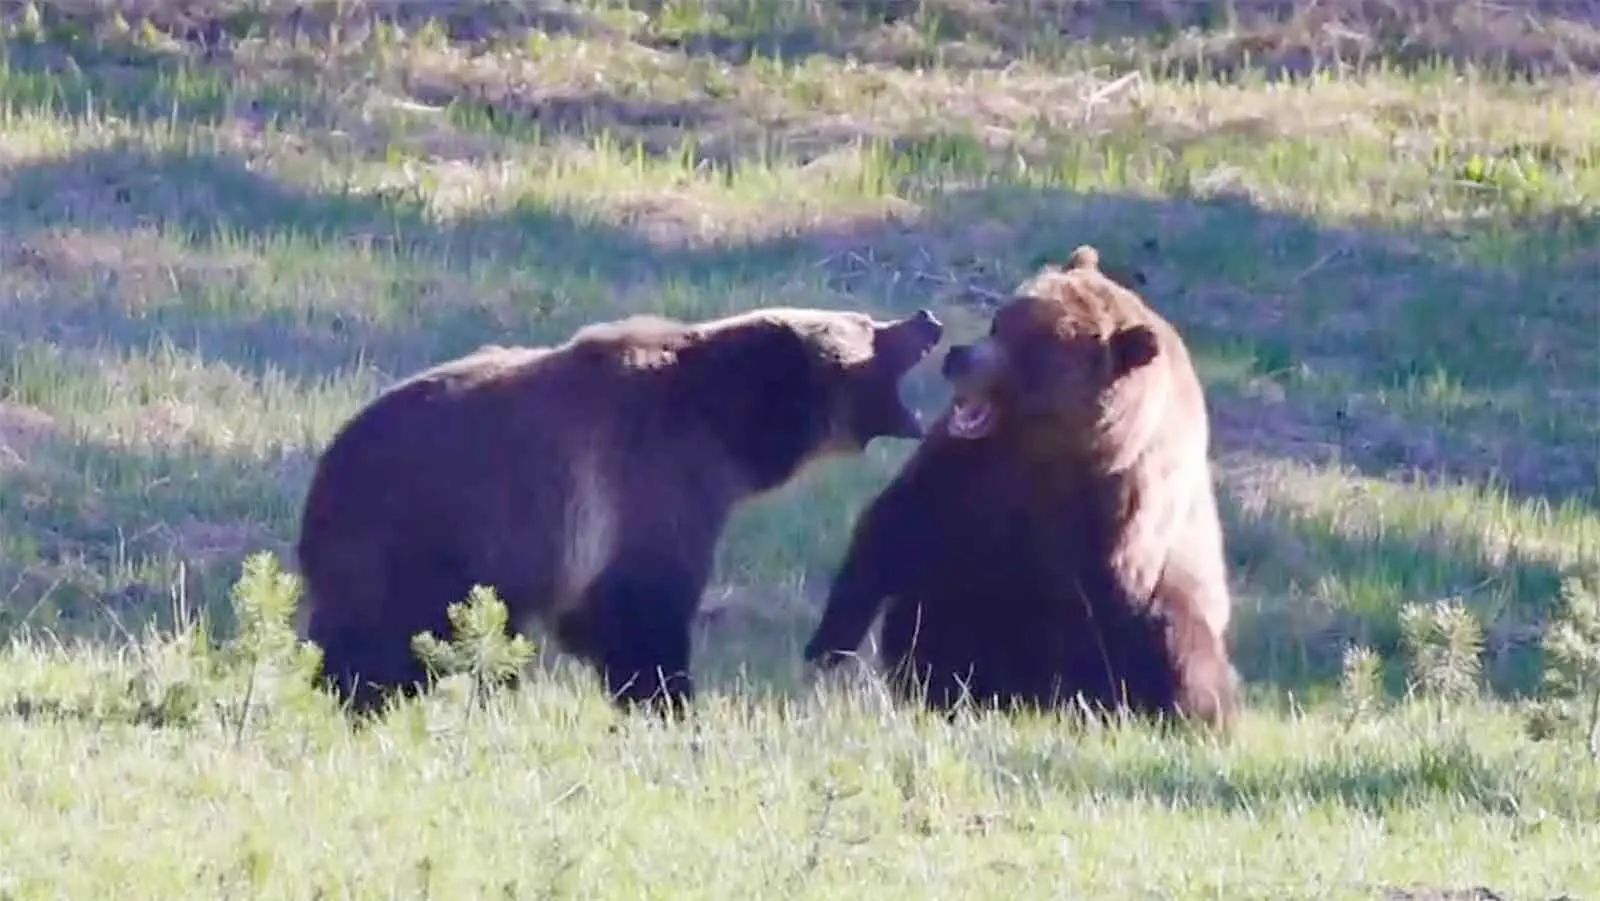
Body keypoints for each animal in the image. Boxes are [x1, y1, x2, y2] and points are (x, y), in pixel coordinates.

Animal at [296, 305, 944, 719]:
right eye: (870, 327)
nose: (928, 320)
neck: (728, 427)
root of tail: (324, 476)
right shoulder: (651, 481)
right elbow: (640, 611)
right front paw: (669, 698)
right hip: (423, 536)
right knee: (382, 637)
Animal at [802, 246, 1239, 731]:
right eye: (999, 322)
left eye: (1030, 349)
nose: (958, 357)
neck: (1049, 446)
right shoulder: (972, 470)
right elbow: (898, 526)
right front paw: (827, 646)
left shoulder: (1121, 503)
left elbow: (1102, 611)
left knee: (1182, 649)